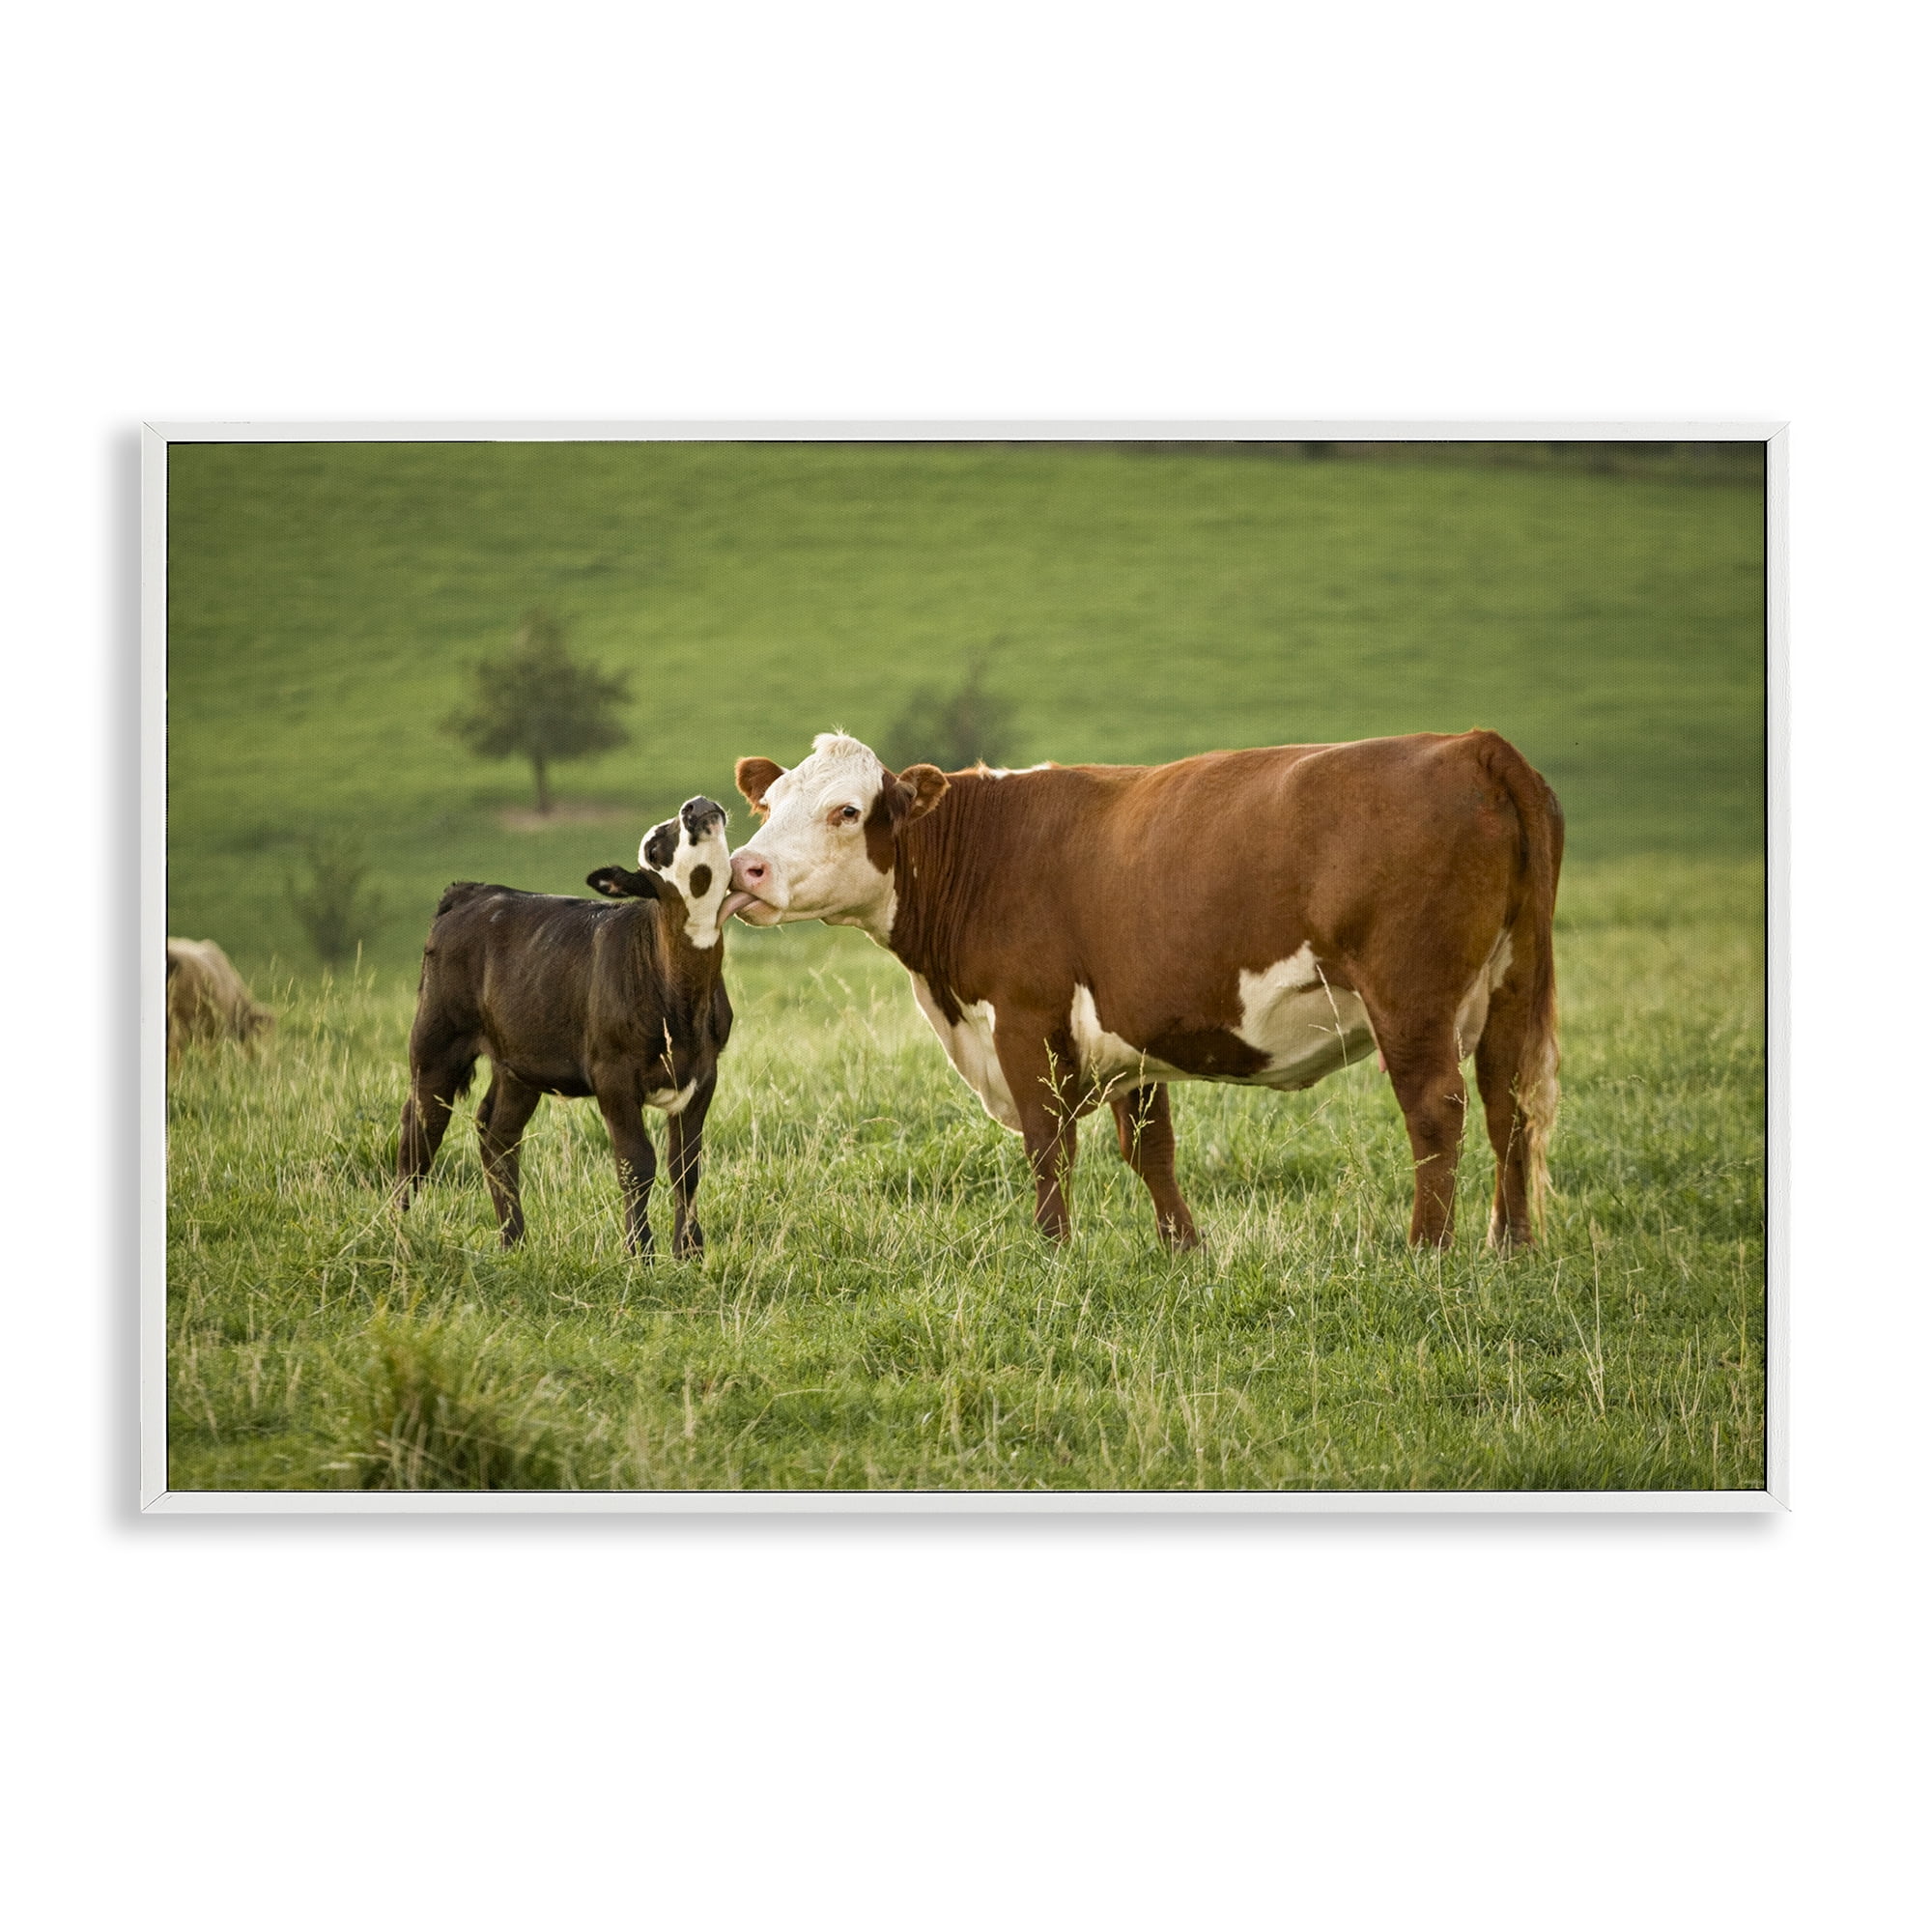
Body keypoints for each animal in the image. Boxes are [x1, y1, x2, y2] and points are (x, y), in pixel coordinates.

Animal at [396, 797, 735, 1259]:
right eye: (653, 847)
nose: (696, 805)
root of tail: (475, 891)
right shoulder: (612, 1073)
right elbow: (636, 1162)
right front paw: (640, 1253)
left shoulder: (704, 1072)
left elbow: (686, 1165)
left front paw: (690, 1252)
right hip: (436, 1043)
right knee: (417, 1135)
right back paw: (396, 1234)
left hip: (519, 1062)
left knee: (497, 1134)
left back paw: (514, 1241)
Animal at [723, 731, 1561, 1253]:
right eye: (769, 806)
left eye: (847, 810)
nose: (743, 869)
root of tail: (1474, 745)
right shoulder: (1130, 1034)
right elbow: (1151, 1148)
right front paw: (1183, 1249)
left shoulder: (1025, 1020)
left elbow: (1048, 1144)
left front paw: (1054, 1249)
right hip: (1510, 987)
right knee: (1509, 1104)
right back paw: (1512, 1245)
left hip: (1410, 999)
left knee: (1437, 1112)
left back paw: (1428, 1249)